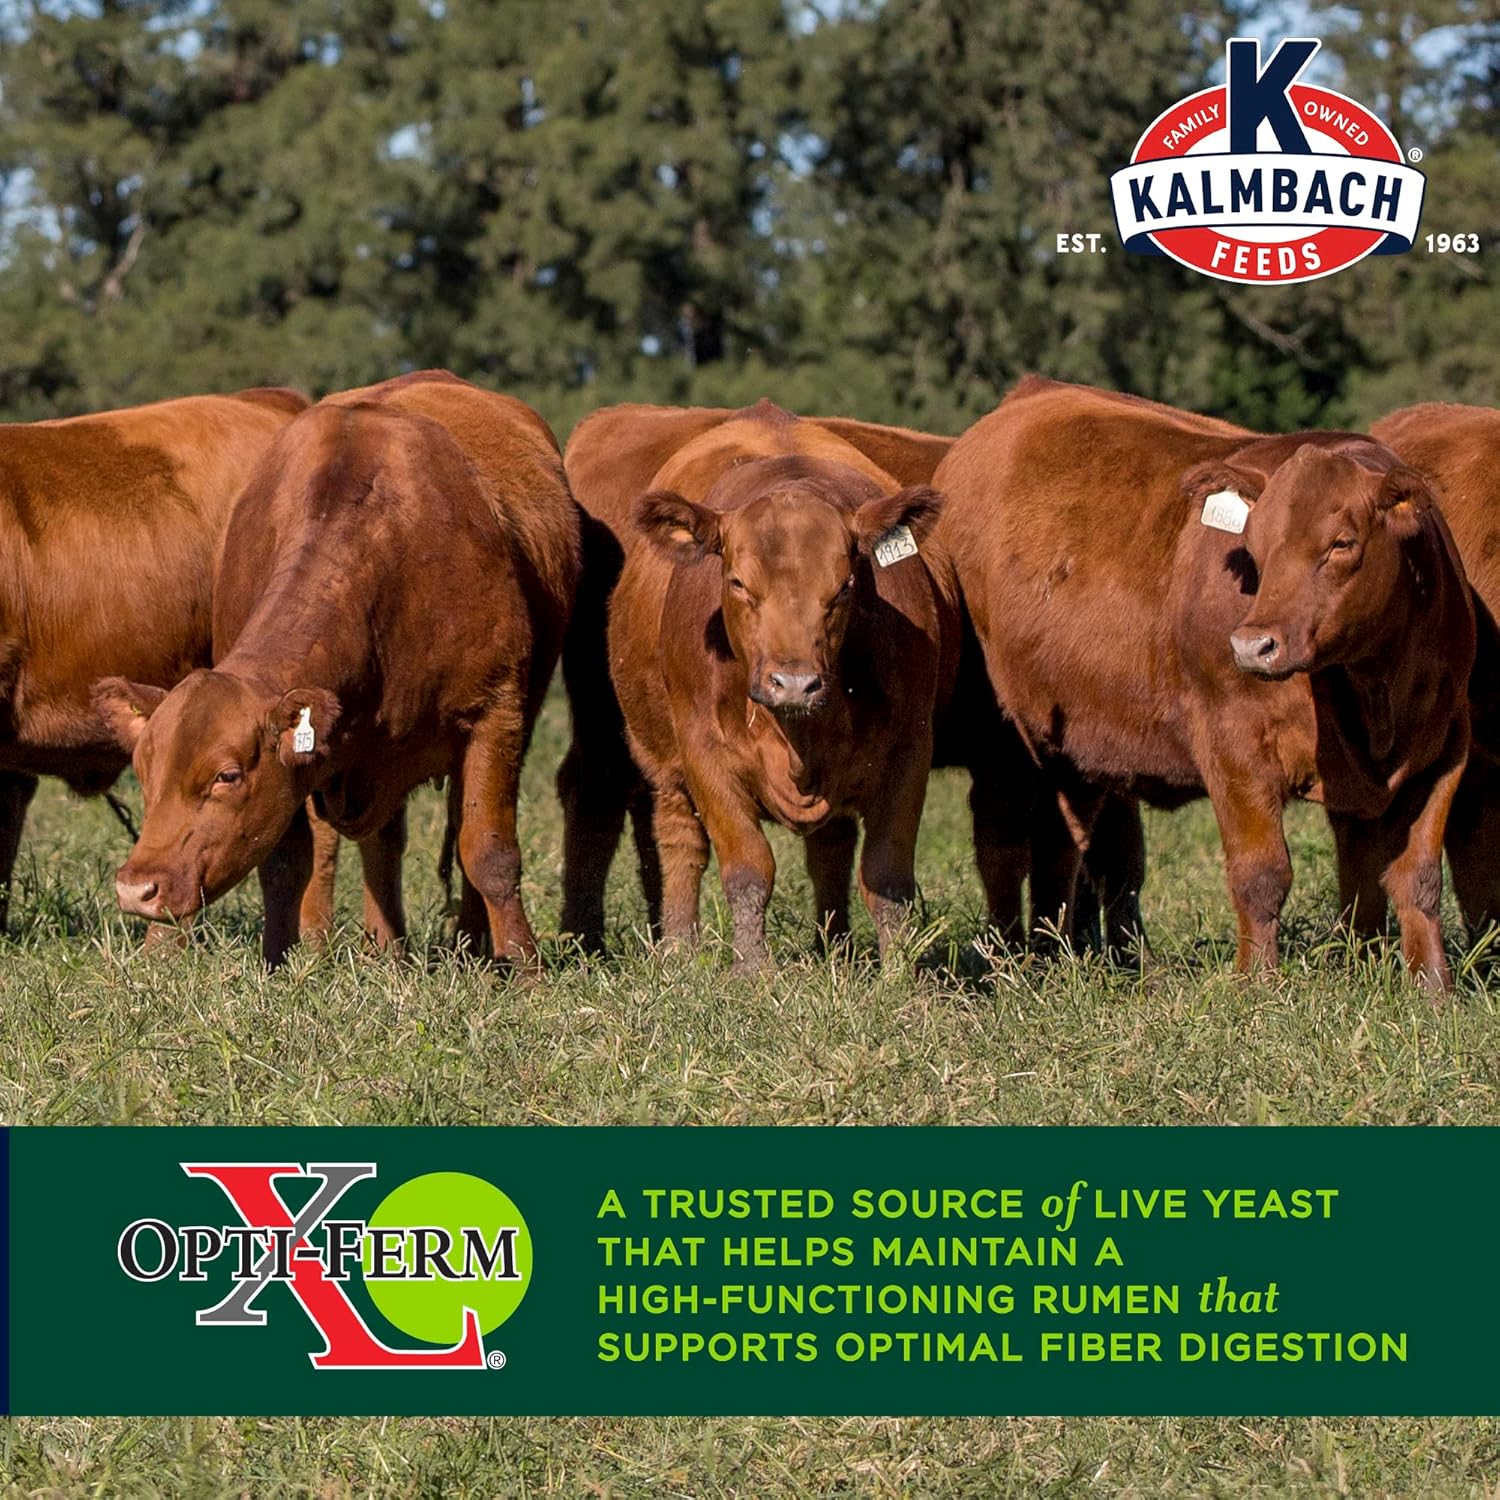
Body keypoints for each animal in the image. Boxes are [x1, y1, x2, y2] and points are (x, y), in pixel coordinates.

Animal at [92, 371, 581, 968]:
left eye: (226, 776)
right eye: (143, 772)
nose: (137, 888)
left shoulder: (496, 711)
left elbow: (489, 854)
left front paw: (523, 966)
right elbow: (285, 863)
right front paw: (277, 961)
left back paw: (472, 947)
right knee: (376, 844)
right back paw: (379, 946)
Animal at [557, 401, 962, 953]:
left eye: (844, 586)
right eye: (738, 583)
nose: (794, 684)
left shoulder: (909, 751)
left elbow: (886, 878)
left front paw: (898, 966)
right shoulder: (704, 753)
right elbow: (748, 869)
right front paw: (752, 966)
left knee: (830, 844)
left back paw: (832, 945)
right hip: (642, 749)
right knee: (675, 837)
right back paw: (678, 949)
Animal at [935, 377, 1474, 996]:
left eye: (1341, 542)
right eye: (1254, 548)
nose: (1253, 644)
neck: (1374, 688)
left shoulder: (1442, 750)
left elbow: (1416, 878)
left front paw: (1431, 987)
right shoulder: (1233, 745)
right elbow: (1261, 875)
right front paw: (1258, 985)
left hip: (1072, 750)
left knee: (1060, 844)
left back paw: (1055, 955)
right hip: (1000, 737)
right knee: (1001, 843)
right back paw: (1005, 959)